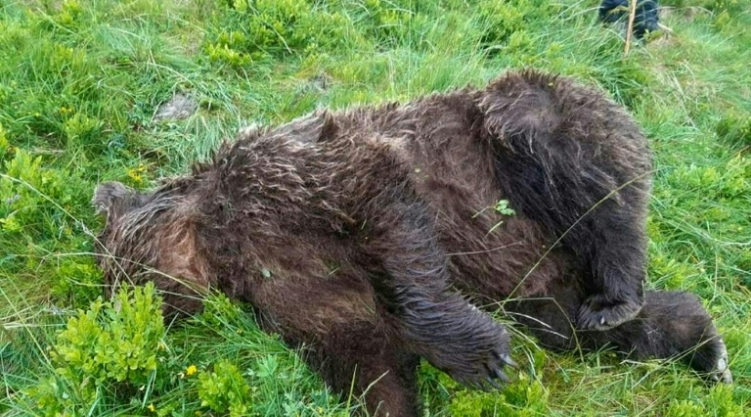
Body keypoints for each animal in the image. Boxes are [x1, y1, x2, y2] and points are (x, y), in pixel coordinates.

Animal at [91, 70, 732, 414]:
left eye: (116, 270)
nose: (123, 309)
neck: (221, 244)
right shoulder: (290, 292)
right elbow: (365, 358)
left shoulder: (295, 174)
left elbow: (387, 216)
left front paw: (482, 358)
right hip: (543, 281)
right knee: (577, 328)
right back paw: (700, 346)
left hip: (528, 130)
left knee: (581, 180)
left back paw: (620, 290)